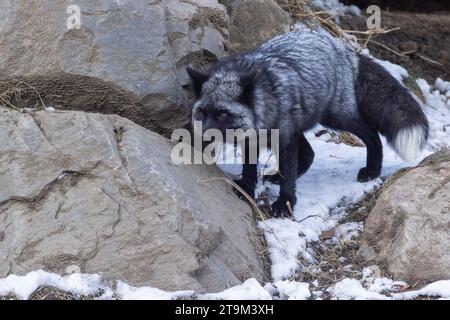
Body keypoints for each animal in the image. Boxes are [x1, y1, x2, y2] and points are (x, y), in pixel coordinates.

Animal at [185, 29, 428, 218]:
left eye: (222, 114)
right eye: (202, 113)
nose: (203, 135)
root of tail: (344, 48)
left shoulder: (284, 140)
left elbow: (288, 176)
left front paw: (285, 204)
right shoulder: (253, 139)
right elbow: (250, 168)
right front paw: (246, 189)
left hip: (336, 117)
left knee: (372, 135)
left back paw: (373, 170)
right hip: (302, 124)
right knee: (310, 153)